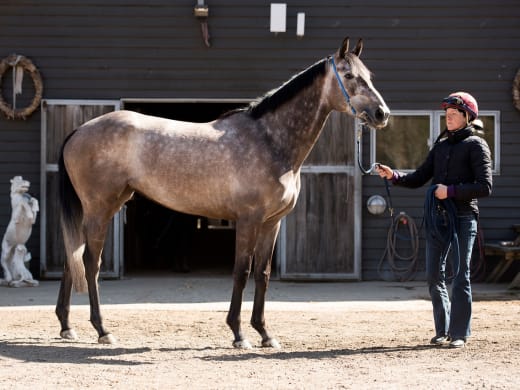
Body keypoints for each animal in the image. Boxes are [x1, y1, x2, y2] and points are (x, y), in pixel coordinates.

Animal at [57, 36, 390, 348]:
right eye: (349, 75)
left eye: (370, 75)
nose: (382, 113)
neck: (269, 140)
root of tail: (78, 131)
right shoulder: (248, 221)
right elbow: (242, 272)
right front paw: (239, 333)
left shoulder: (272, 223)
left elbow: (263, 274)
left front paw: (265, 334)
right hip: (100, 209)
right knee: (90, 262)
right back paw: (102, 330)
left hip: (100, 208)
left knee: (72, 257)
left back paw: (66, 326)